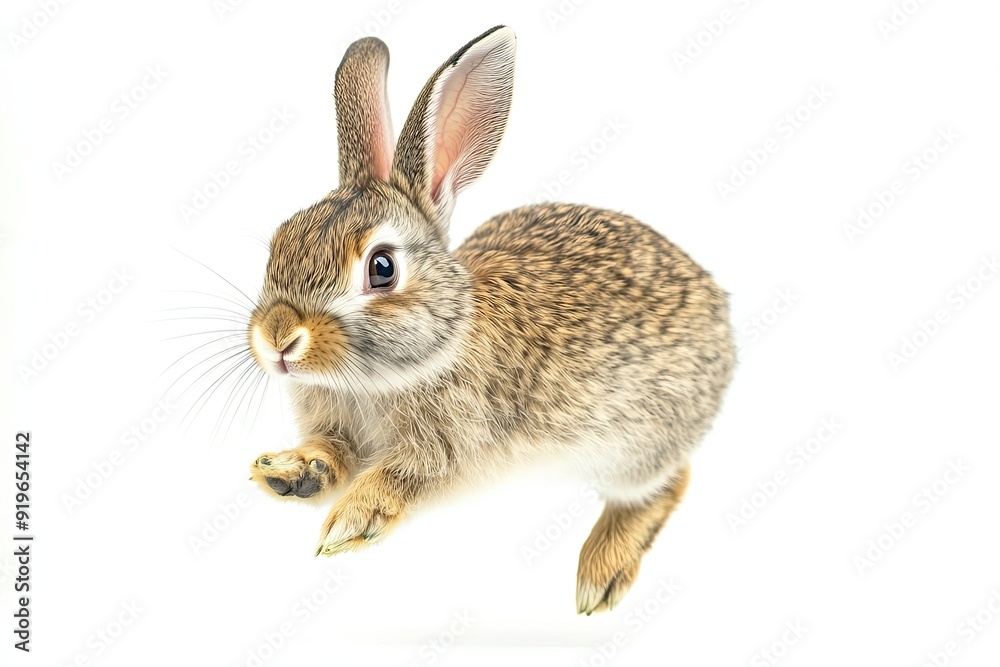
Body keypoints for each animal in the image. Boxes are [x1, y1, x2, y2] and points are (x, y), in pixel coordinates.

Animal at [245, 25, 735, 615]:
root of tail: (720, 314)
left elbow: (404, 475)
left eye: (382, 268)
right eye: (279, 241)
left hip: (637, 444)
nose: (276, 338)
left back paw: (601, 573)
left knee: (669, 482)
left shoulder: (453, 446)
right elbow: (331, 452)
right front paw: (291, 472)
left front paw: (352, 519)